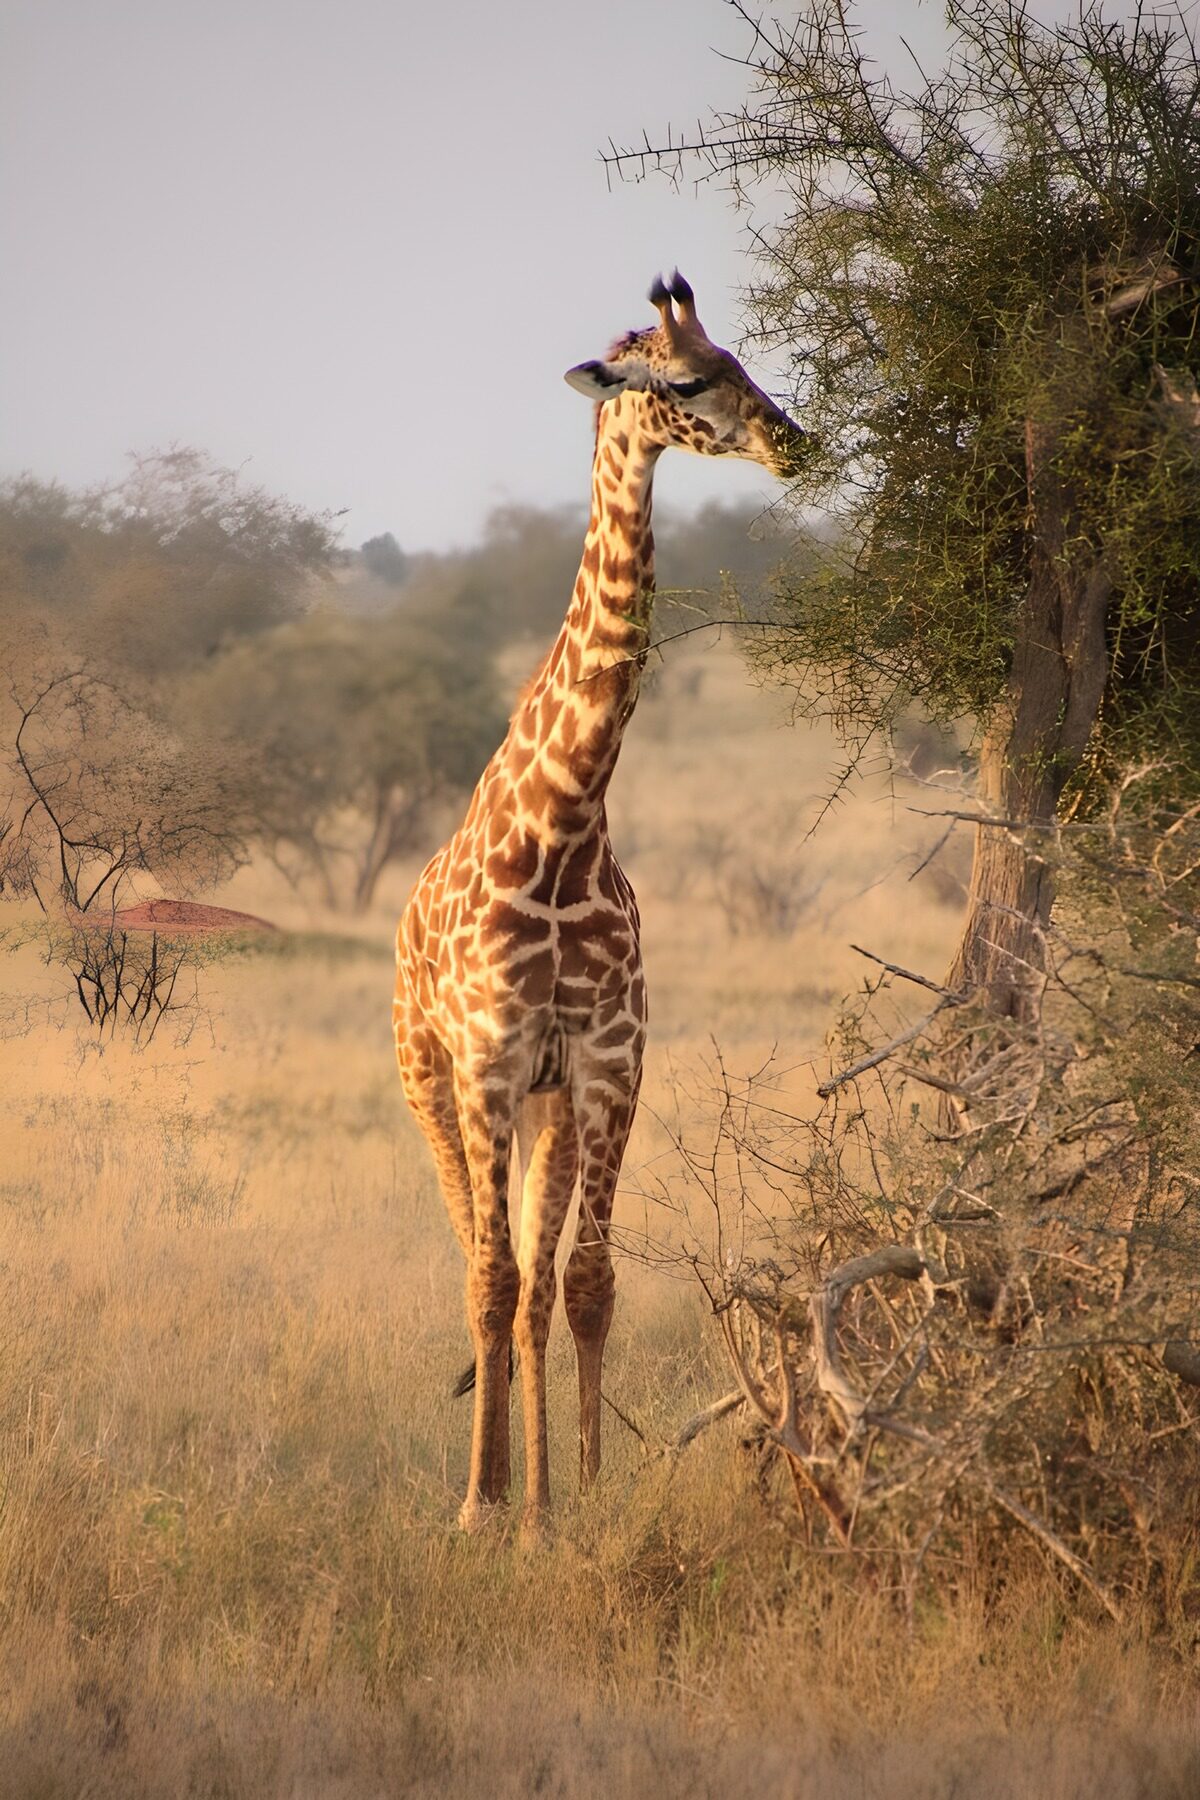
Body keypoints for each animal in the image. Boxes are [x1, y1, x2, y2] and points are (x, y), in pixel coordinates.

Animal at [393, 272, 810, 1534]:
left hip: (549, 1106)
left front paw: (573, 1497)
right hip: (429, 1079)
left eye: (742, 358)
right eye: (688, 379)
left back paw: (532, 1496)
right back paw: (488, 1490)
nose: (794, 440)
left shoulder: (606, 1058)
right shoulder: (488, 1057)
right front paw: (479, 1509)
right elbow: (492, 1278)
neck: (566, 828)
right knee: (476, 1261)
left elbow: (581, 1282)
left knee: (533, 1277)